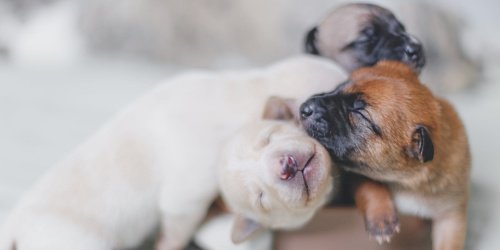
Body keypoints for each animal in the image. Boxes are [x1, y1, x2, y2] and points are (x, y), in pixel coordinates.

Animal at [300, 61, 468, 250]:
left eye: (359, 112)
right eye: (339, 87)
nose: (305, 107)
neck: (405, 181)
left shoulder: (451, 213)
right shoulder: (352, 173)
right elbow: (370, 184)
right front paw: (381, 219)